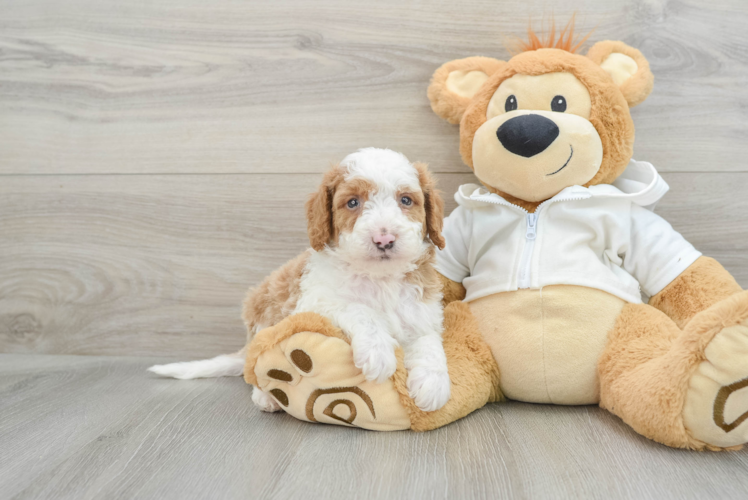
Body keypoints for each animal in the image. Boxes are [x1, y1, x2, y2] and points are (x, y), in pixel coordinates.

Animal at [148, 146, 450, 412]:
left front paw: (434, 384)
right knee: (254, 367)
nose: (384, 239)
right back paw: (266, 397)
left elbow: (429, 341)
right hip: (263, 316)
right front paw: (378, 351)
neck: (379, 279)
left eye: (406, 200)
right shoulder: (314, 302)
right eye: (353, 202)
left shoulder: (421, 313)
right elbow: (359, 309)